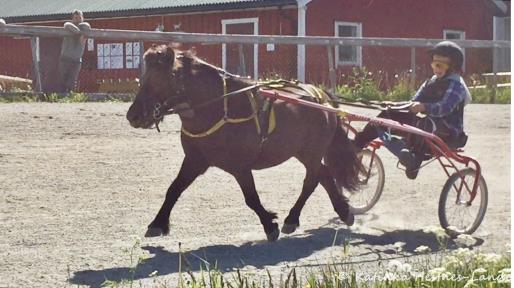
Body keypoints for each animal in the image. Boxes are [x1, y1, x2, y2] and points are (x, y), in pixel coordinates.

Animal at [125, 45, 358, 241]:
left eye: (161, 78)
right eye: (144, 77)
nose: (133, 115)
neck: (217, 108)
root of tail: (321, 96)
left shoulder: (240, 167)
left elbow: (251, 198)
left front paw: (269, 225)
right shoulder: (194, 160)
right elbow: (173, 189)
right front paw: (157, 223)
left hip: (311, 152)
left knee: (311, 181)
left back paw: (292, 219)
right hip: (302, 152)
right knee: (324, 175)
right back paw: (343, 212)